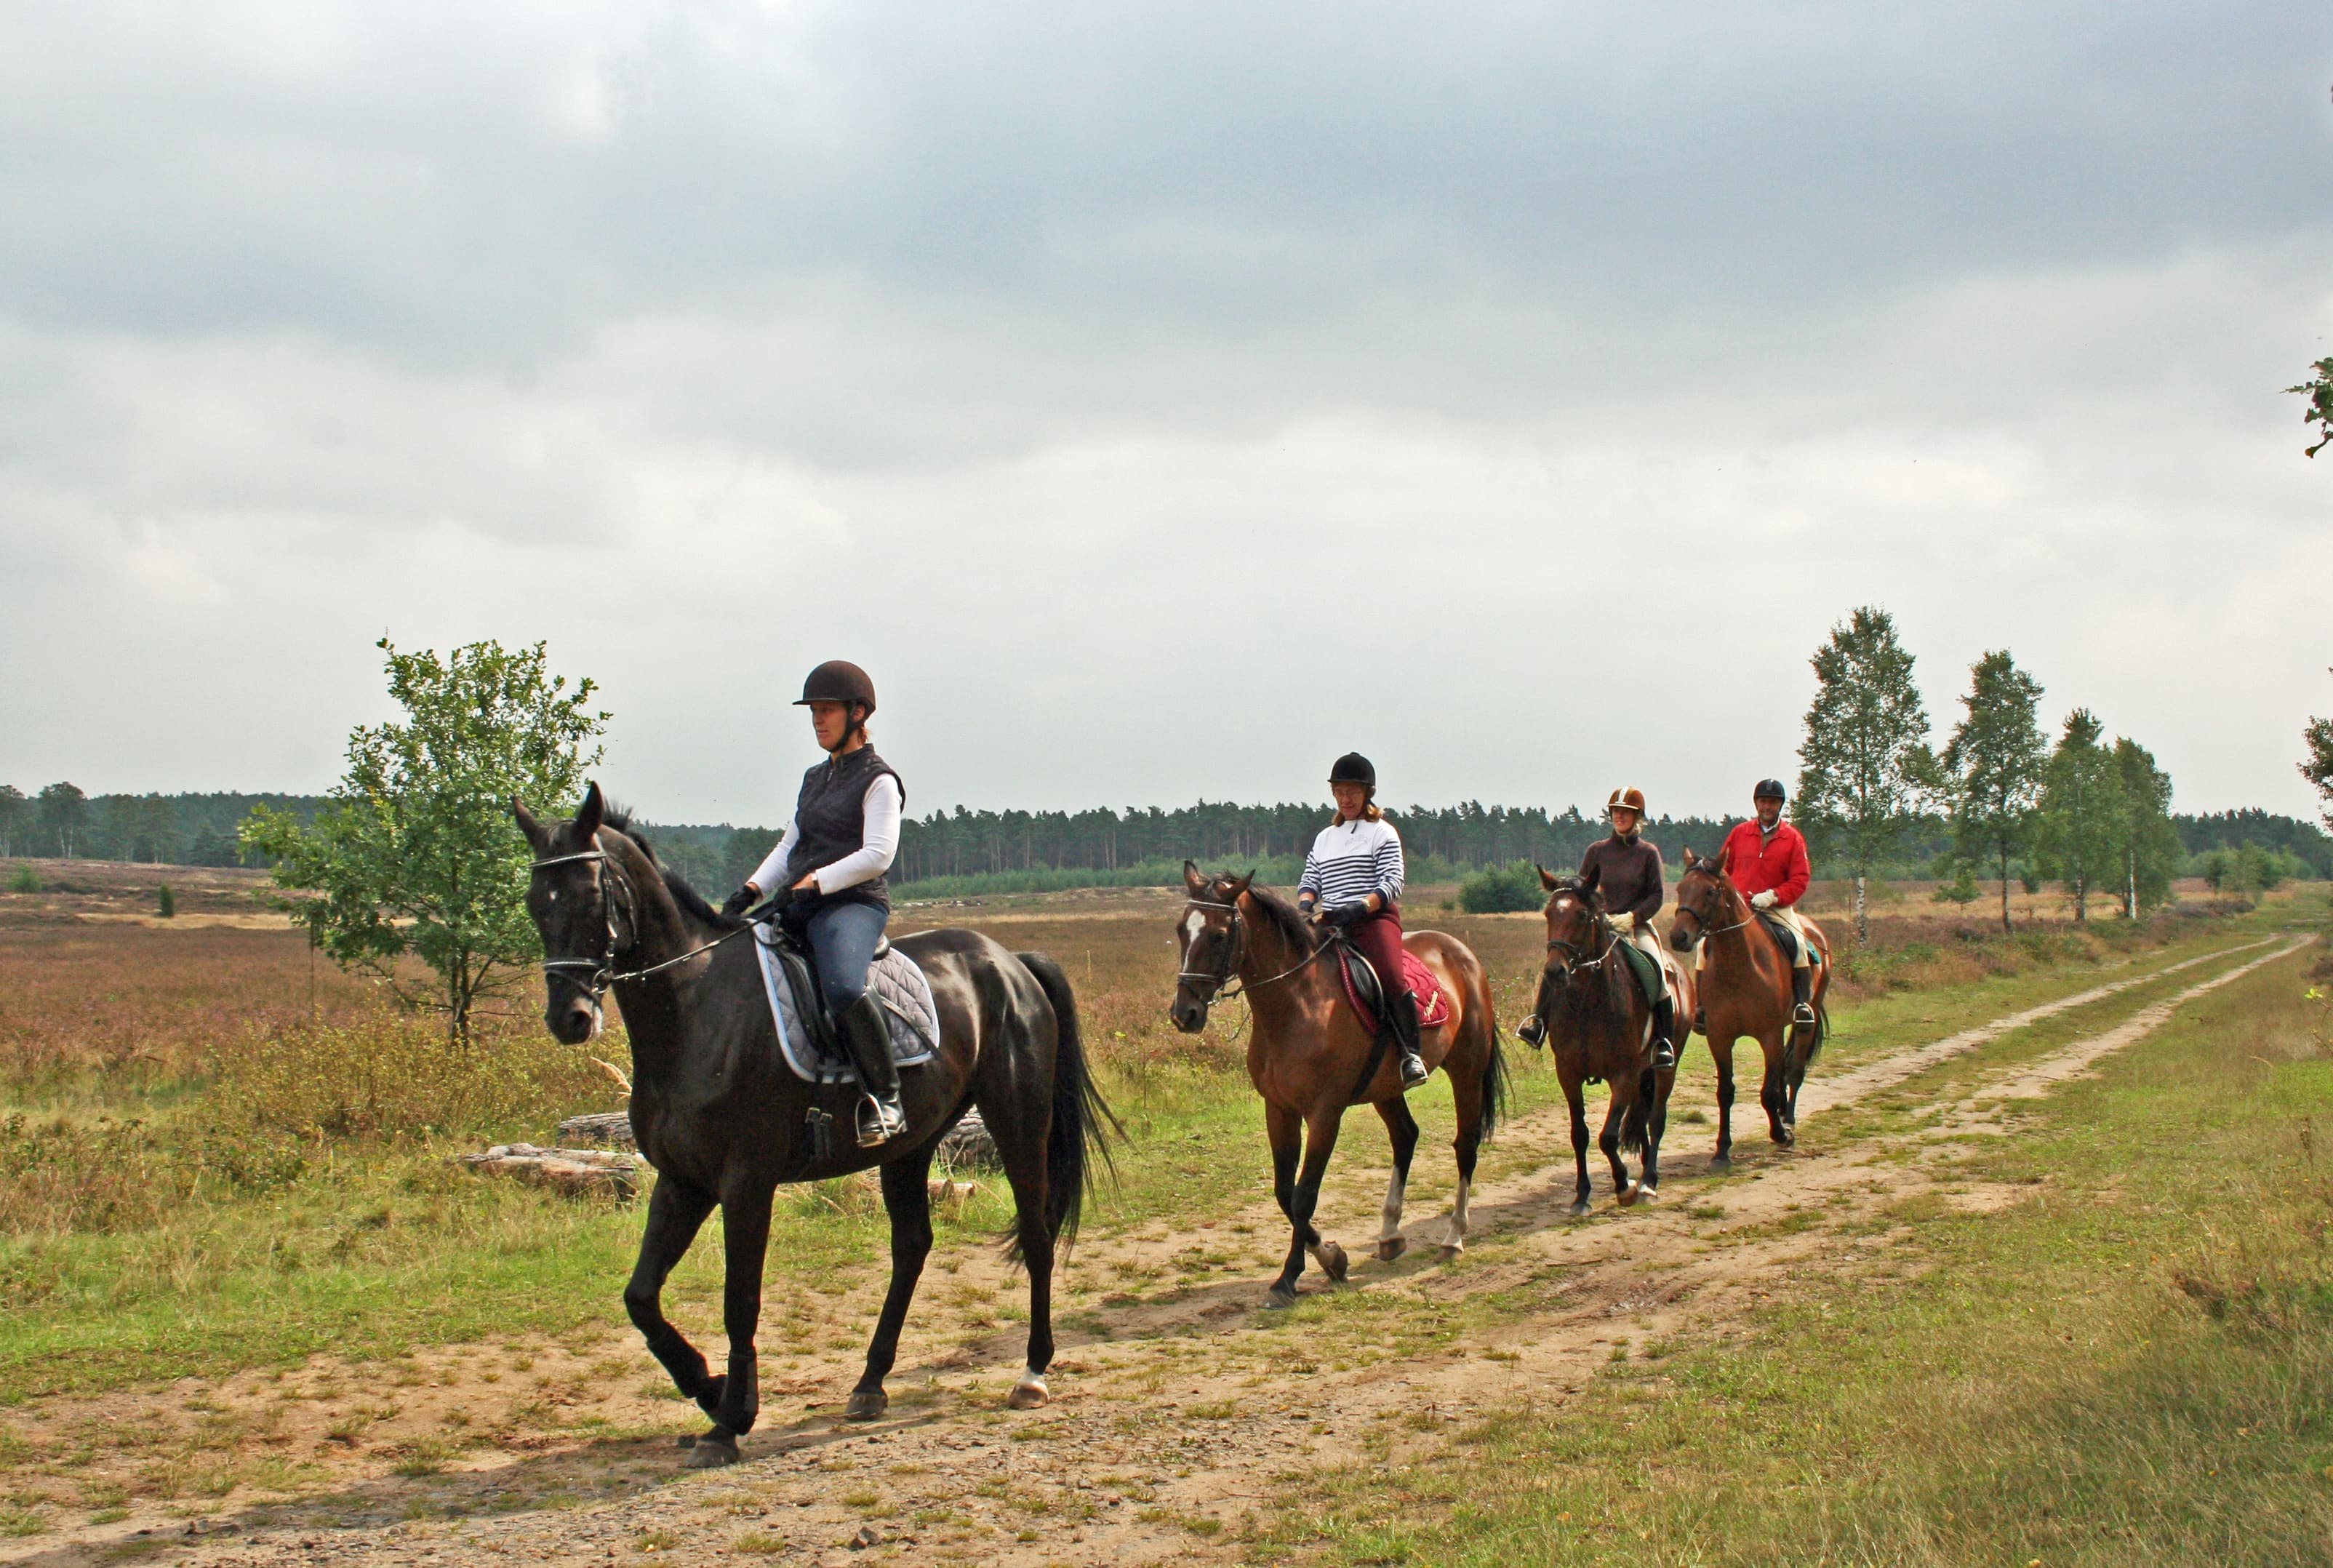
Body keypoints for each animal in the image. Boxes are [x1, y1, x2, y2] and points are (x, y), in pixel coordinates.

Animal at [515, 784, 1115, 1474]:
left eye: (593, 895)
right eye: (535, 903)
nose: (570, 1018)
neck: (696, 1010)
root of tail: (1009, 961)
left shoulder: (746, 1183)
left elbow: (739, 1300)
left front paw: (731, 1418)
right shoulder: (682, 1180)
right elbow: (641, 1297)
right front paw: (709, 1389)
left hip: (1018, 1118)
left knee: (1037, 1233)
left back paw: (1032, 1373)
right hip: (911, 1144)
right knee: (912, 1246)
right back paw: (870, 1384)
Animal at [1166, 863, 1511, 1306]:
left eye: (1220, 934)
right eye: (1182, 929)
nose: (1185, 1014)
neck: (1297, 1005)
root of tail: (1460, 952)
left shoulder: (1324, 1114)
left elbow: (1304, 1195)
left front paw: (1289, 1278)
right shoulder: (1279, 1110)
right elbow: (1284, 1191)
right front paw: (1331, 1258)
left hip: (1467, 1068)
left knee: (1465, 1145)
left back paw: (1452, 1240)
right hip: (1387, 1088)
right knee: (1405, 1136)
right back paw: (1390, 1235)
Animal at [1521, 868, 1689, 1213]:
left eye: (1583, 915)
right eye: (1549, 914)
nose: (1555, 972)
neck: (1589, 1003)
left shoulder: (1623, 1075)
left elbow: (1608, 1136)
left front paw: (1624, 1186)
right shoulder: (1568, 1074)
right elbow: (1580, 1134)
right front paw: (1582, 1195)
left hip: (1666, 1067)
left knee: (1656, 1119)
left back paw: (1648, 1182)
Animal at [1670, 844, 1829, 1161]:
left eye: (1710, 891)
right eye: (1681, 888)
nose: (1679, 937)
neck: (1738, 964)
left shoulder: (1769, 1035)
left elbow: (1768, 1091)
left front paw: (1780, 1133)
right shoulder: (1720, 1037)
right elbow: (1725, 1092)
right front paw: (1722, 1150)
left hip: (1808, 1018)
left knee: (1794, 1071)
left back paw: (1788, 1122)